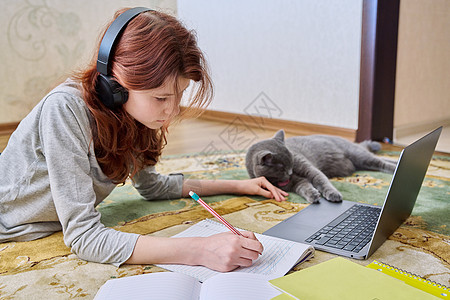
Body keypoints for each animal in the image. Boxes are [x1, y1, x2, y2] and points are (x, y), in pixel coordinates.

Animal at [244, 129, 396, 204]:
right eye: (282, 168)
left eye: (292, 161)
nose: (291, 172)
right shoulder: (295, 183)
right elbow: (304, 187)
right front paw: (313, 195)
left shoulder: (309, 168)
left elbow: (320, 180)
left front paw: (332, 194)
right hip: (361, 162)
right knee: (382, 159)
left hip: (359, 155)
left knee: (380, 161)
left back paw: (395, 168)